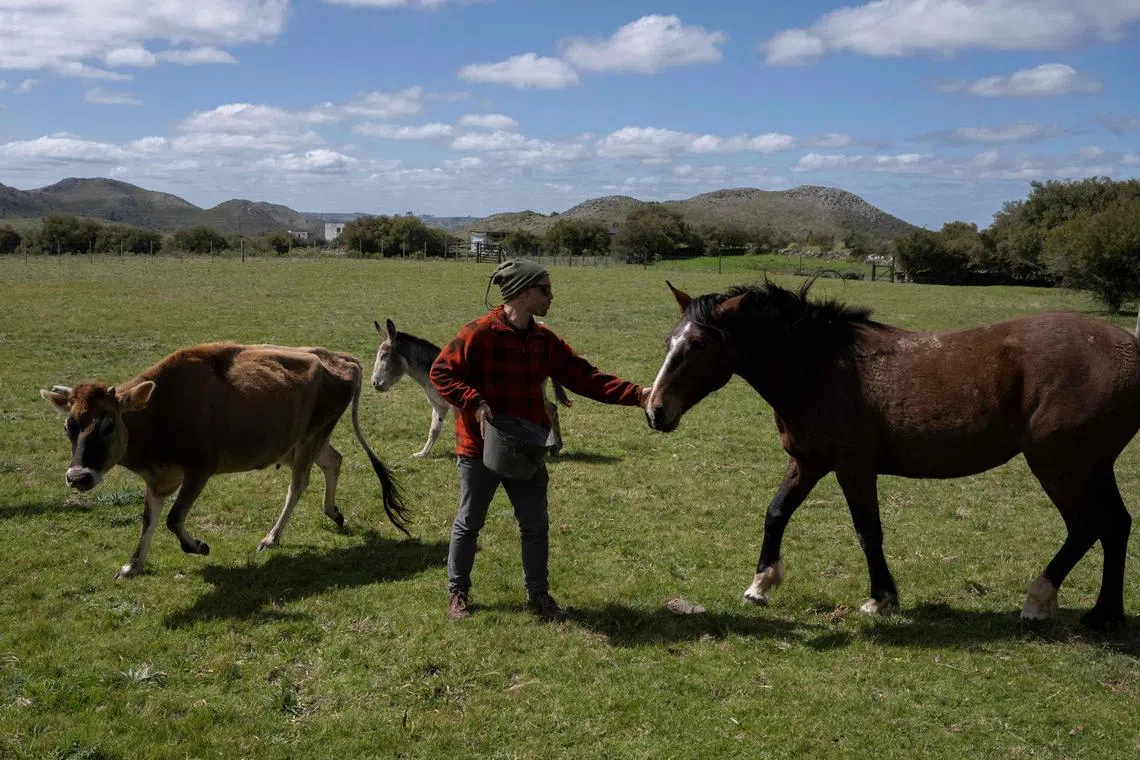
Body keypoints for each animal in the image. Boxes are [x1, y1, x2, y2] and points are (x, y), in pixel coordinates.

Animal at [370, 319, 571, 457]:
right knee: (551, 409)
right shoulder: (439, 406)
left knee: (550, 410)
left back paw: (554, 446)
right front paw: (423, 454)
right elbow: (434, 430)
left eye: (383, 356)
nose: (374, 384)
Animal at [645, 278, 1139, 629]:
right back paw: (1104, 614)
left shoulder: (853, 469)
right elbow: (776, 513)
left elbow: (869, 532)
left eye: (698, 345)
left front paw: (881, 599)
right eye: (669, 340)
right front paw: (760, 585)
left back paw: (1038, 601)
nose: (654, 410)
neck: (821, 369)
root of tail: (1129, 348)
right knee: (1115, 525)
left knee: (1085, 526)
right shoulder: (808, 462)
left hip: (1060, 466)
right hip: (1095, 466)